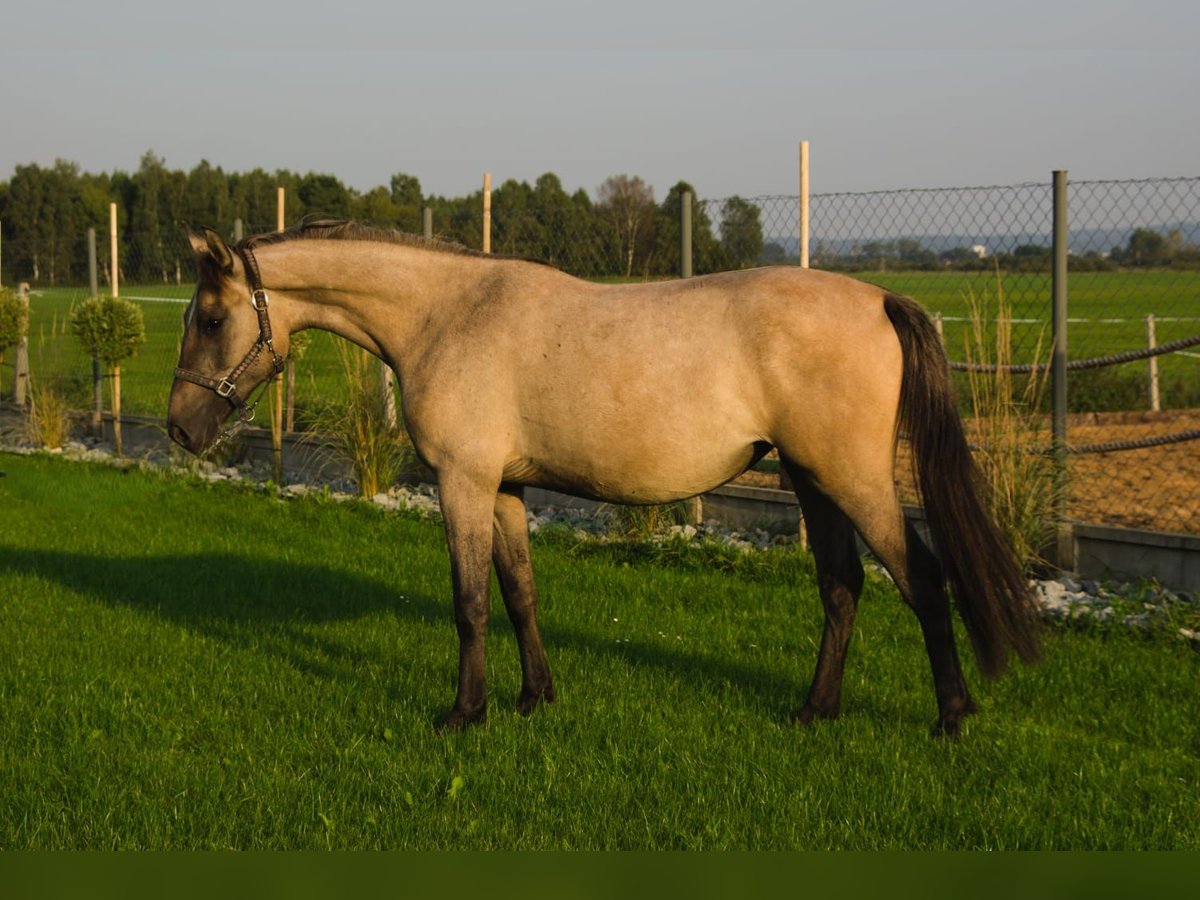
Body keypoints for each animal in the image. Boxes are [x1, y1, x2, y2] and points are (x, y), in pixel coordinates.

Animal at [169, 220, 1041, 739]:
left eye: (210, 319)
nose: (180, 428)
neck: (447, 315)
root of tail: (880, 297)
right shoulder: (505, 489)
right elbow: (519, 592)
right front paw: (533, 698)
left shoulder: (462, 483)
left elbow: (470, 602)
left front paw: (465, 712)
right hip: (812, 481)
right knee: (842, 586)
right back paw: (814, 710)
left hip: (851, 480)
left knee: (921, 579)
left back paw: (951, 717)